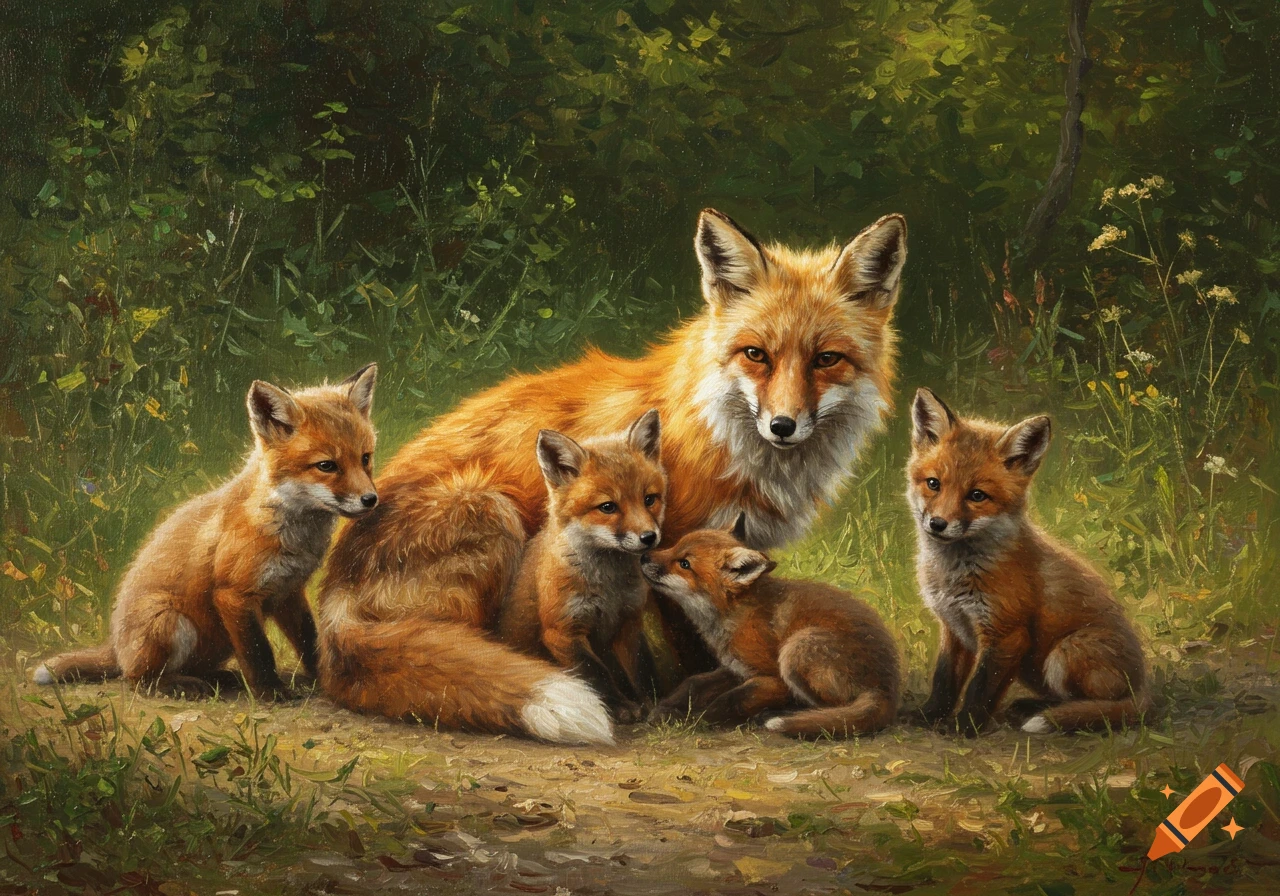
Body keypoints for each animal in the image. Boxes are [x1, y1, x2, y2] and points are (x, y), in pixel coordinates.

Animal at [34, 365, 379, 700]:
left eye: (365, 458)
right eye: (327, 466)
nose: (371, 499)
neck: (289, 530)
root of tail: (117, 647)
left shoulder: (289, 592)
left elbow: (310, 641)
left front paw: (328, 677)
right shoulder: (234, 595)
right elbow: (259, 652)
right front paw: (270, 692)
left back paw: (220, 678)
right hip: (169, 622)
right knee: (137, 679)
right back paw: (177, 686)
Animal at [497, 410, 665, 725]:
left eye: (649, 499)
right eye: (608, 507)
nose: (649, 537)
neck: (609, 589)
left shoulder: (628, 621)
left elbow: (642, 668)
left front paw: (660, 704)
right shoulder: (563, 631)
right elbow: (596, 674)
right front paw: (621, 707)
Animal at [642, 515, 901, 737]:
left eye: (684, 563)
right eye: (674, 546)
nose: (644, 556)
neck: (736, 616)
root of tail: (888, 687)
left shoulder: (771, 677)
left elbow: (730, 700)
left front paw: (691, 719)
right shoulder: (735, 668)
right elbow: (693, 683)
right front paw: (666, 706)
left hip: (796, 649)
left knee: (831, 709)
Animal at [908, 388, 1148, 735]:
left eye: (977, 496)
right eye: (933, 484)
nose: (937, 524)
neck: (954, 573)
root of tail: (1143, 689)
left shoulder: (1007, 634)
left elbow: (981, 689)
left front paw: (965, 726)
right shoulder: (954, 628)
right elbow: (944, 681)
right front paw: (930, 714)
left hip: (1066, 652)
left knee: (1095, 706)